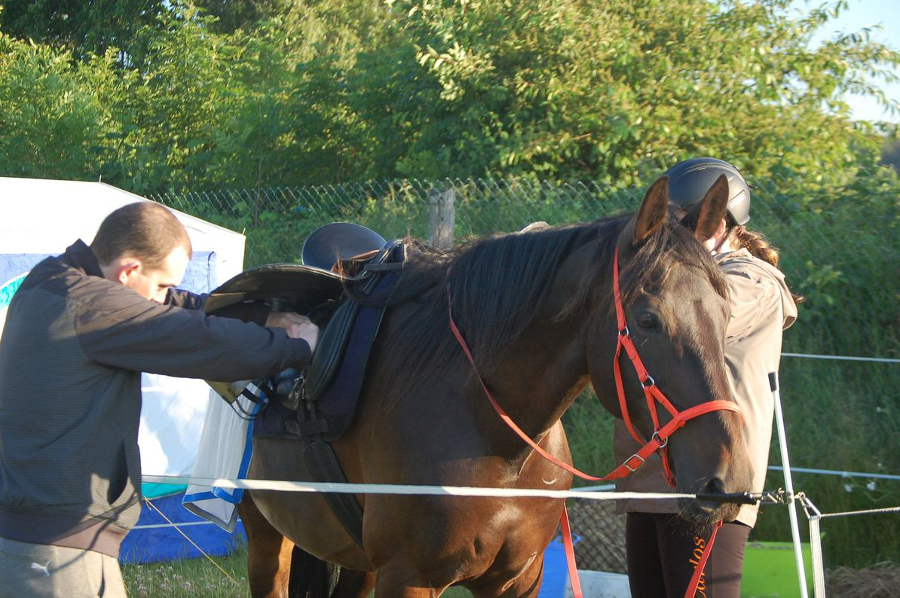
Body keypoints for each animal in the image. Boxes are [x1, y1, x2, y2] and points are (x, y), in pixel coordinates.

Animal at [236, 174, 754, 597]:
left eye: (728, 313)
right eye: (647, 319)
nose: (727, 482)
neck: (498, 438)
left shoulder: (518, 580)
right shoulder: (408, 577)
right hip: (264, 531)